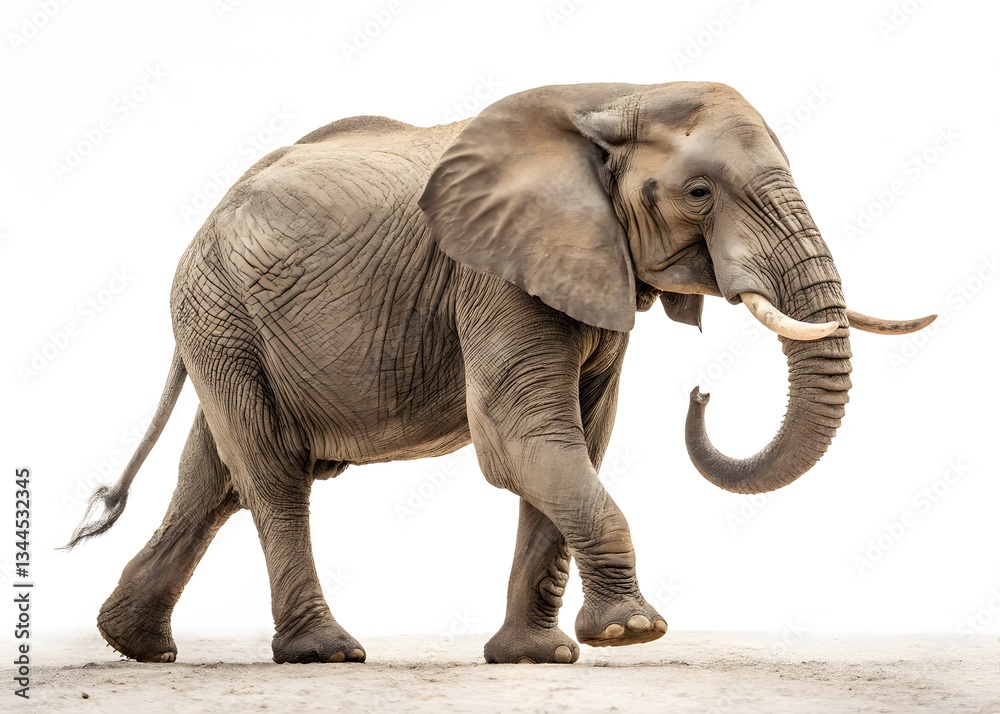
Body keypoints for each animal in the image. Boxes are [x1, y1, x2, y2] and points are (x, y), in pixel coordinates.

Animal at [67, 81, 933, 665]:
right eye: (698, 193)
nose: (701, 391)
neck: (617, 99)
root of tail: (212, 213)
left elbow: (580, 437)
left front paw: (540, 654)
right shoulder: (489, 274)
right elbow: (522, 437)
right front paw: (633, 632)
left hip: (227, 320)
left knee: (214, 478)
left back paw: (138, 646)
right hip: (217, 308)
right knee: (272, 474)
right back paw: (325, 651)